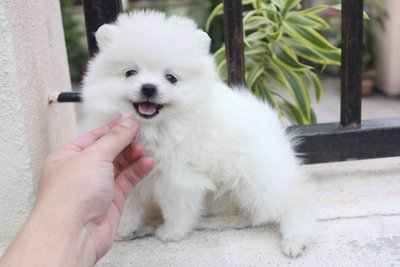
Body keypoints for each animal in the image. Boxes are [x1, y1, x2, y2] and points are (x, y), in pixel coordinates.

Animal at [81, 9, 312, 258]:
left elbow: (177, 208)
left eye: (171, 78)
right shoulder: (134, 175)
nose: (149, 88)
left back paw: (296, 239)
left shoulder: (178, 177)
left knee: (293, 202)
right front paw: (124, 229)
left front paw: (171, 233)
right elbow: (130, 205)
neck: (156, 128)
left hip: (257, 180)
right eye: (130, 72)